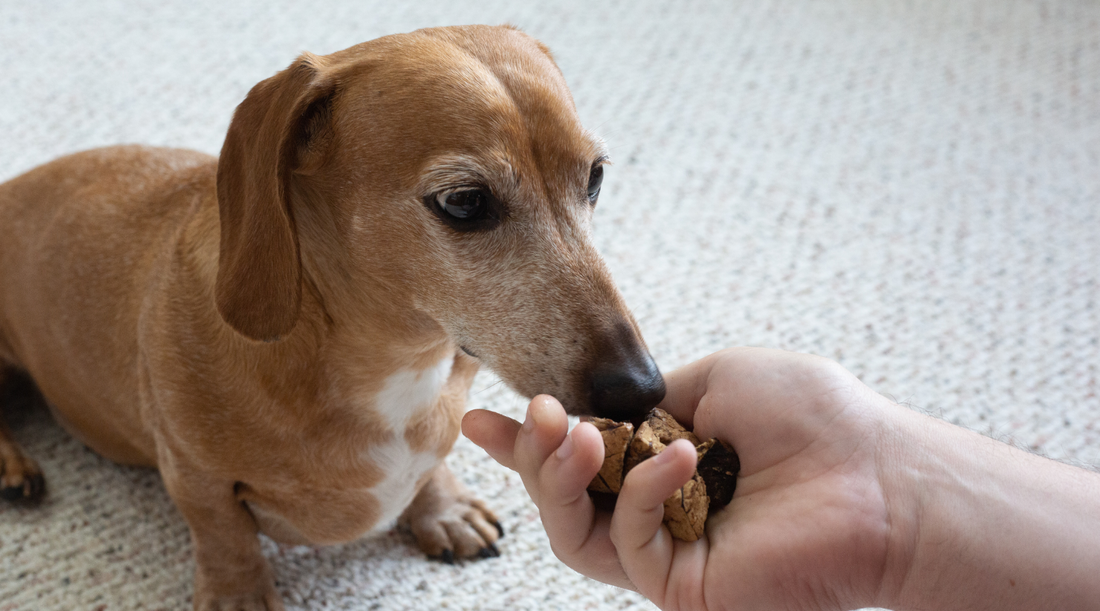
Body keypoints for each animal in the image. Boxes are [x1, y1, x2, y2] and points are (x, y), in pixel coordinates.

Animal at [0, 25, 660, 611]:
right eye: (464, 202)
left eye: (596, 176)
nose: (642, 390)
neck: (396, 359)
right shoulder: (194, 476)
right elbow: (223, 536)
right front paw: (239, 596)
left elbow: (432, 464)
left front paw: (443, 508)